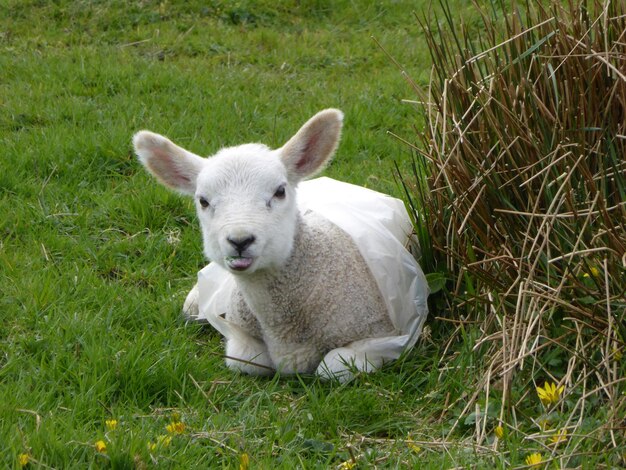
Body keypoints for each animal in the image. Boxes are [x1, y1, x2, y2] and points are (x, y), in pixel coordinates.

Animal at [132, 110, 424, 382]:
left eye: (280, 191)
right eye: (203, 201)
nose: (240, 240)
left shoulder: (381, 337)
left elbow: (332, 369)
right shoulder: (241, 335)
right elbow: (245, 360)